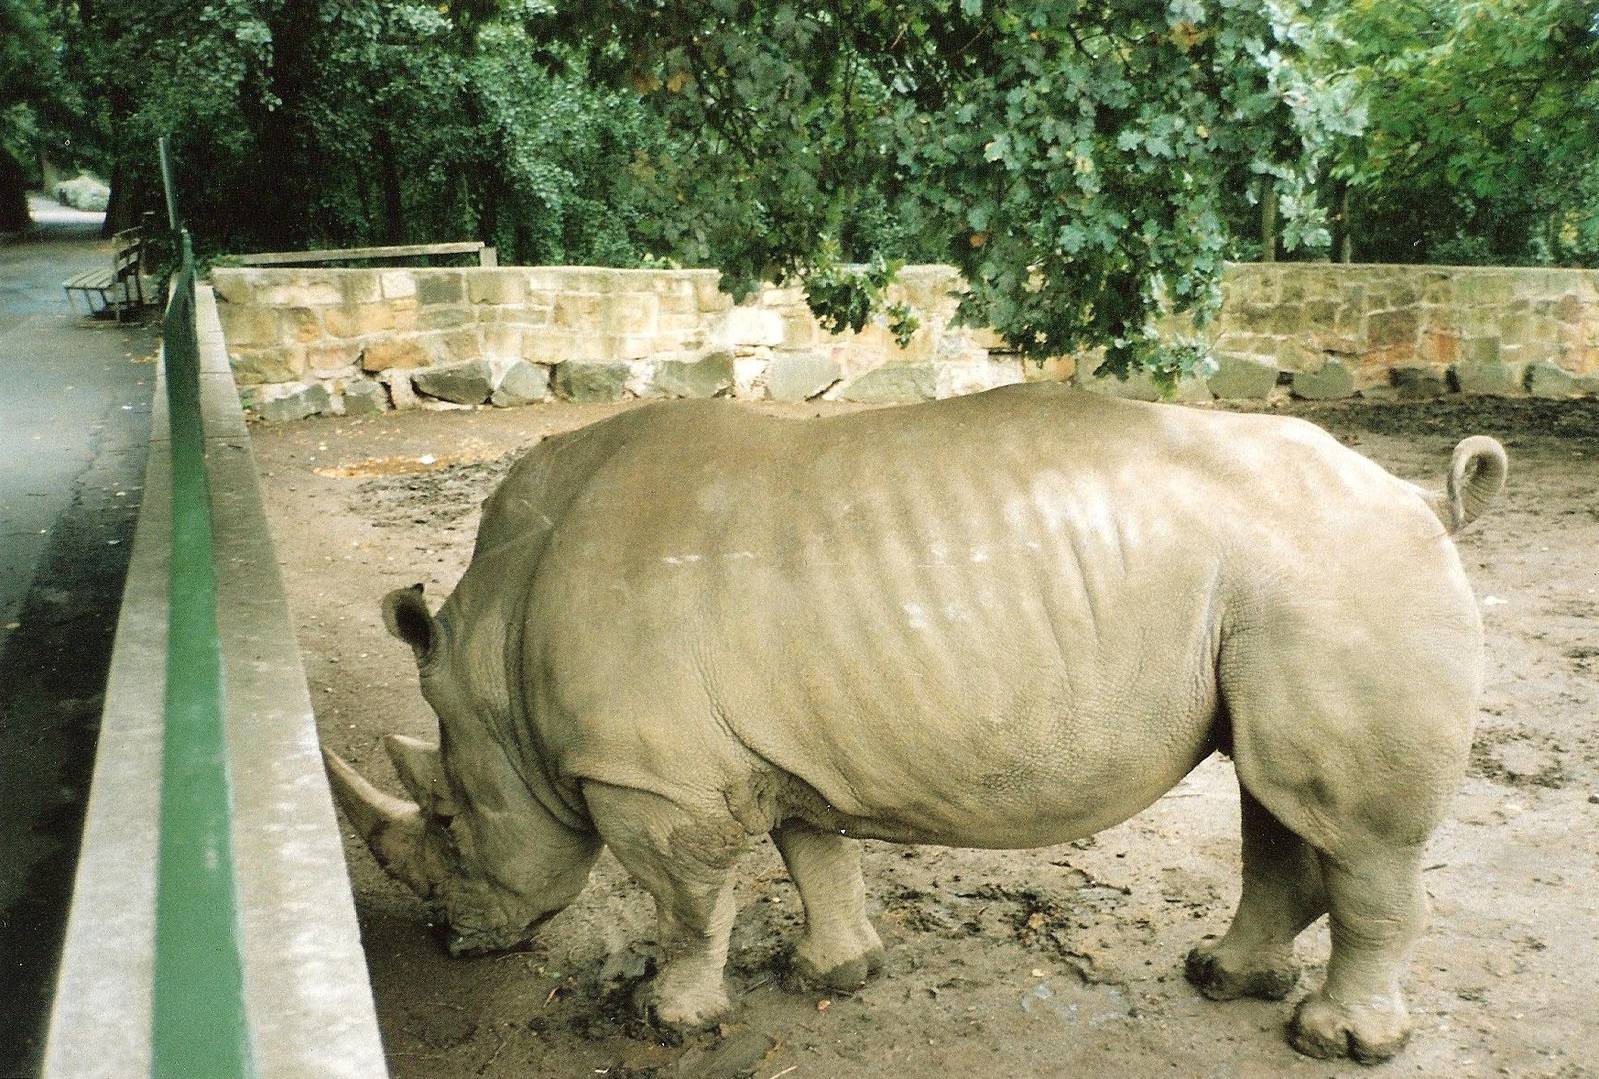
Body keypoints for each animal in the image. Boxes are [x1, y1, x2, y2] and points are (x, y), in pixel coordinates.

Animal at [324, 382, 1507, 1062]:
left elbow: (689, 901)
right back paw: (1221, 979)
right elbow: (816, 853)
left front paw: (674, 1018)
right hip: (1291, 594)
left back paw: (1334, 1040)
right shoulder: (779, 743)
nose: (451, 938)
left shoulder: (650, 779)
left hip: (1339, 577)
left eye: (448, 824)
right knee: (1278, 799)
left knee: (1357, 833)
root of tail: (1424, 500)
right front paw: (833, 976)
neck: (493, 660)